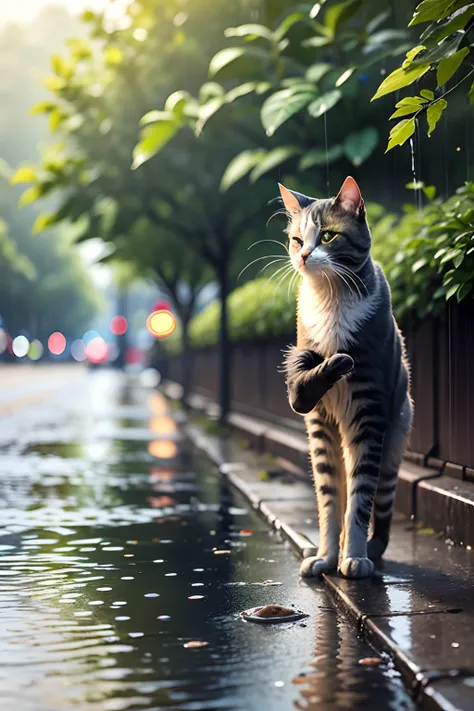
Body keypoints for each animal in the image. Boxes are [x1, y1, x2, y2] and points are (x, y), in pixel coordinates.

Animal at [282, 177, 412, 580]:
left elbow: (358, 497)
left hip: (394, 437)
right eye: (297, 239)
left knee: (379, 504)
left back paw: (367, 549)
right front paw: (326, 557)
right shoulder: (314, 416)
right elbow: (328, 501)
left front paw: (354, 558)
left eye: (327, 236)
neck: (331, 297)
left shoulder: (369, 411)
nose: (304, 255)